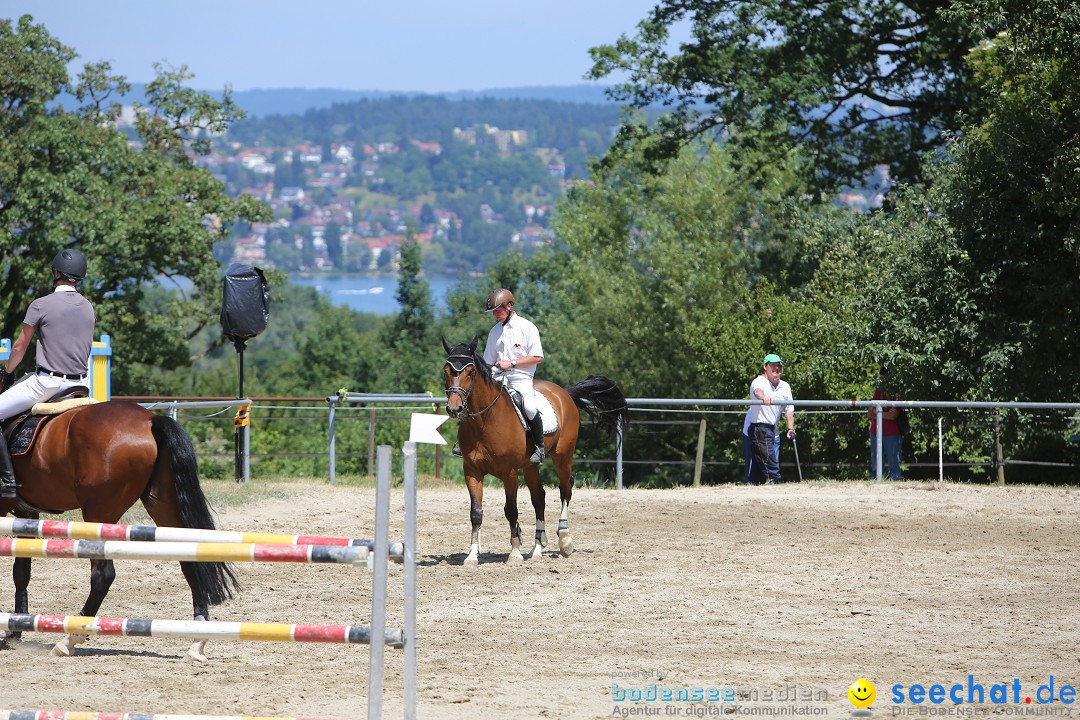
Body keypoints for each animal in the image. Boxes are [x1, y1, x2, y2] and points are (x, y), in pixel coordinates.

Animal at [1, 399, 238, 660]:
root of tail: (149, 420)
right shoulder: (26, 514)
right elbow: (21, 570)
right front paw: (15, 631)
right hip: (163, 504)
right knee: (189, 561)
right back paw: (197, 639)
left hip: (98, 514)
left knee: (103, 575)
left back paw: (70, 638)